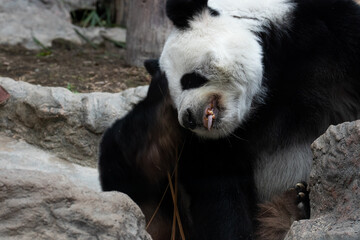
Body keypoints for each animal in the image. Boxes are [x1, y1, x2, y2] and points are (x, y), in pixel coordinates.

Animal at [99, 0, 360, 239]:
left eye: (190, 79)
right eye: (176, 99)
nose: (188, 118)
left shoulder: (328, 41)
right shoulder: (210, 143)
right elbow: (220, 190)